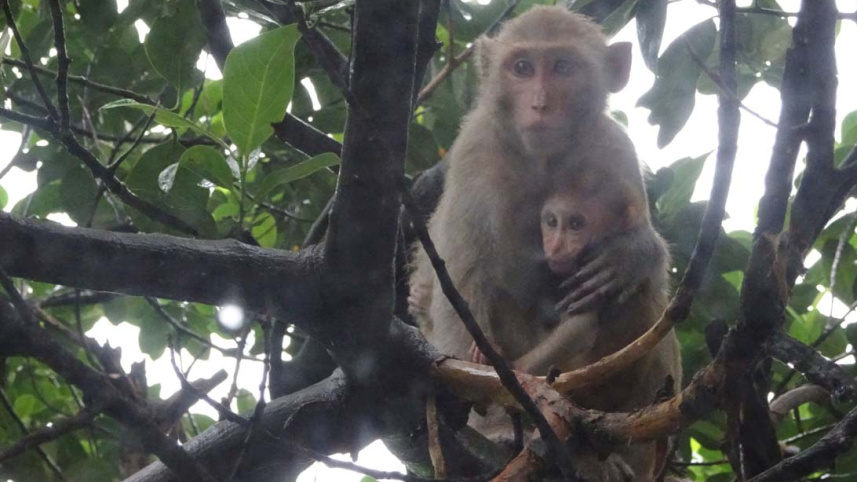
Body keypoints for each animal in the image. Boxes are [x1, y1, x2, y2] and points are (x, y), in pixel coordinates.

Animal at [408, 6, 681, 481]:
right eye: (522, 68)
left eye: (562, 67)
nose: (539, 103)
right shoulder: (474, 154)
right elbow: (457, 286)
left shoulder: (615, 148)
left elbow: (638, 256)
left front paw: (629, 255)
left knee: (642, 300)